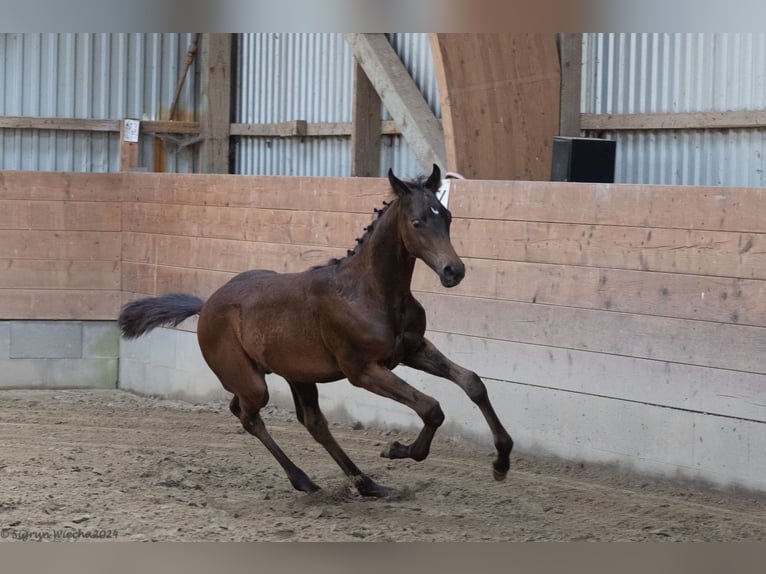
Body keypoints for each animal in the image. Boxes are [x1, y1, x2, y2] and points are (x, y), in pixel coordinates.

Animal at [118, 164, 516, 498]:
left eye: (447, 217)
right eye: (417, 221)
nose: (453, 271)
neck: (371, 292)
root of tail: (206, 305)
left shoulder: (412, 350)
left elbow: (472, 382)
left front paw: (502, 461)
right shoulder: (363, 370)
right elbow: (431, 407)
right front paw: (398, 449)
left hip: (298, 375)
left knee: (311, 422)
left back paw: (367, 484)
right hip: (253, 382)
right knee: (248, 415)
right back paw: (304, 480)